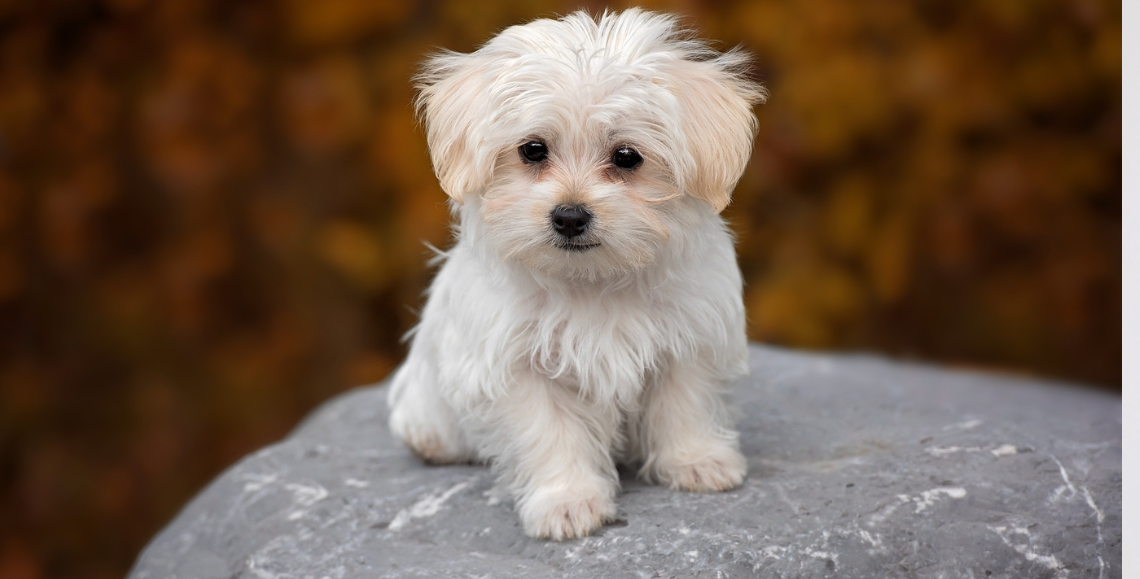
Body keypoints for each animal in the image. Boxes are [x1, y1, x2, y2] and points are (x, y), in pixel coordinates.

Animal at [385, 9, 766, 540]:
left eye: (627, 157)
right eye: (532, 150)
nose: (569, 216)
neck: (592, 281)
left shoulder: (689, 334)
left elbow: (683, 403)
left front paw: (696, 460)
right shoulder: (517, 365)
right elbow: (551, 433)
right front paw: (566, 500)